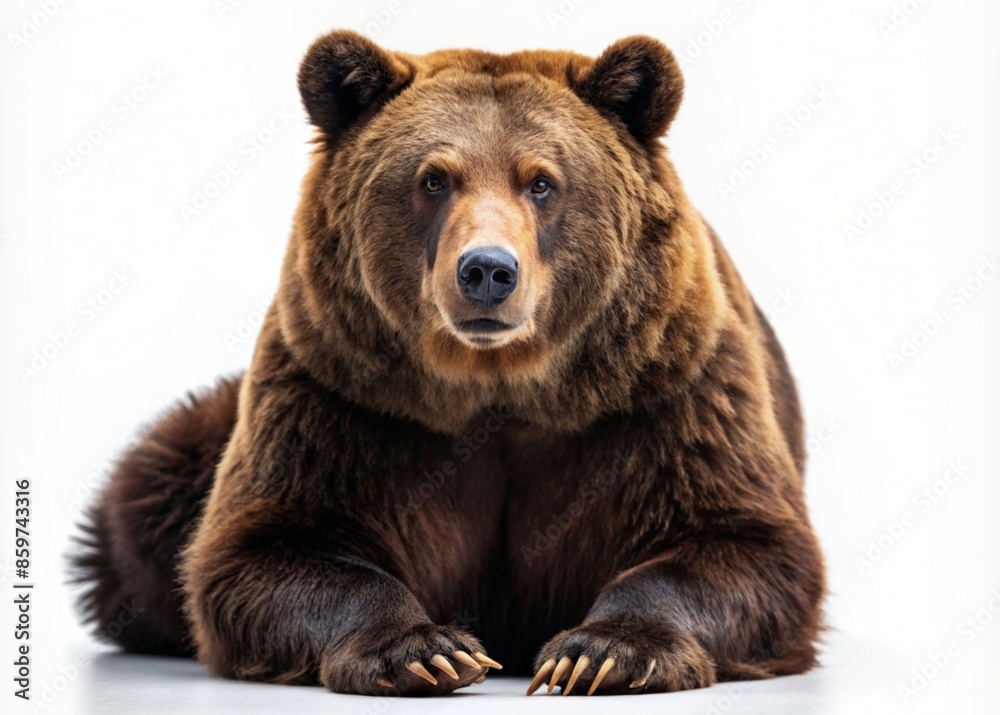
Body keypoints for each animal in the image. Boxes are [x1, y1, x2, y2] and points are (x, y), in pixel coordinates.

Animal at [71, 30, 825, 697]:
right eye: (433, 178)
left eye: (542, 182)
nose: (487, 270)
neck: (498, 385)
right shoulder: (343, 396)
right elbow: (261, 547)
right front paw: (428, 650)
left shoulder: (663, 395)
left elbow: (745, 545)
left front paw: (599, 652)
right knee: (152, 480)